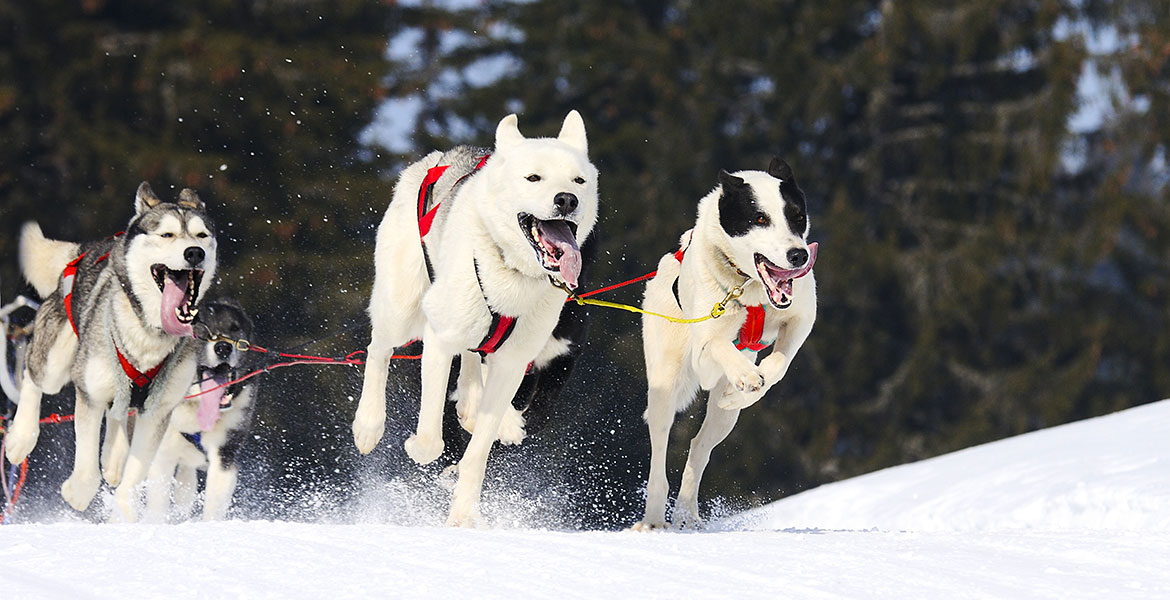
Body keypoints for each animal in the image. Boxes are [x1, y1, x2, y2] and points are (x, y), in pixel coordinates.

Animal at [5, 183, 217, 519]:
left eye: (202, 235)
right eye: (167, 234)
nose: (194, 253)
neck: (149, 333)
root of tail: (87, 248)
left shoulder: (157, 411)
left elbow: (136, 474)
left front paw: (125, 512)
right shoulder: (88, 393)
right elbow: (86, 467)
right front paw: (78, 493)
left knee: (118, 413)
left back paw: (114, 458)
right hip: (56, 362)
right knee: (33, 375)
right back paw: (21, 438)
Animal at [143, 299, 258, 519]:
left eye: (235, 329)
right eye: (201, 332)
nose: (223, 348)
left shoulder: (224, 457)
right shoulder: (162, 457)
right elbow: (158, 505)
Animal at [351, 111, 599, 523]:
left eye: (578, 180)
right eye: (533, 178)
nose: (567, 199)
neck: (511, 271)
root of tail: (439, 156)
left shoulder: (515, 364)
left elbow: (478, 454)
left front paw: (464, 514)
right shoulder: (439, 341)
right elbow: (430, 439)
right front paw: (418, 447)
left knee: (472, 360)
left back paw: (470, 403)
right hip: (402, 307)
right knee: (379, 349)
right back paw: (369, 424)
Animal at [636, 157, 819, 528]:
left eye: (797, 216)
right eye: (760, 218)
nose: (798, 255)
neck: (749, 288)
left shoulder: (801, 319)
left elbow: (777, 365)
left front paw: (743, 391)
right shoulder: (705, 349)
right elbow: (718, 343)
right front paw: (745, 377)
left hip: (721, 423)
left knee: (698, 447)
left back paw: (687, 513)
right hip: (664, 384)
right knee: (659, 456)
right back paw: (654, 519)